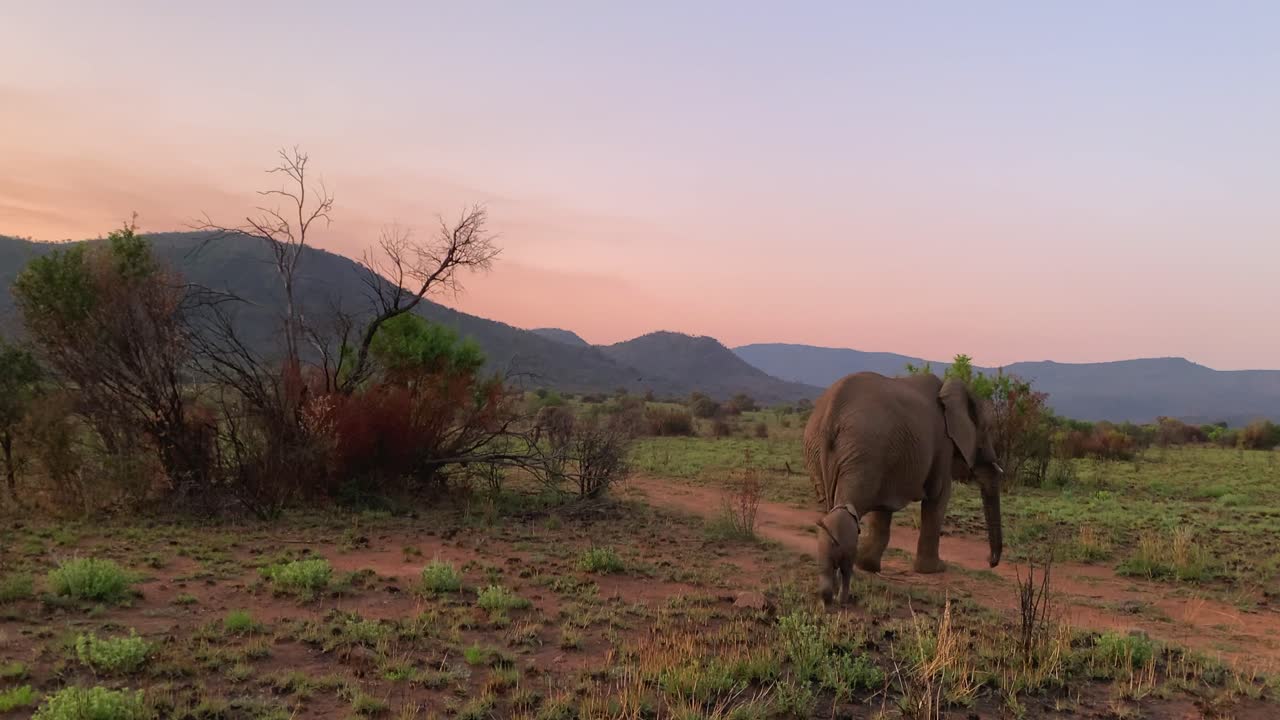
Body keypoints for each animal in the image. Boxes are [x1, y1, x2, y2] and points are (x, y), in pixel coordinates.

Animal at [803, 370, 1004, 594]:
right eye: (987, 429)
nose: (990, 562)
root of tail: (831, 411)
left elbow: (882, 508)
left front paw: (868, 565)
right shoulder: (942, 444)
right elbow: (938, 497)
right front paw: (935, 569)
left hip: (824, 449)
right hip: (864, 448)